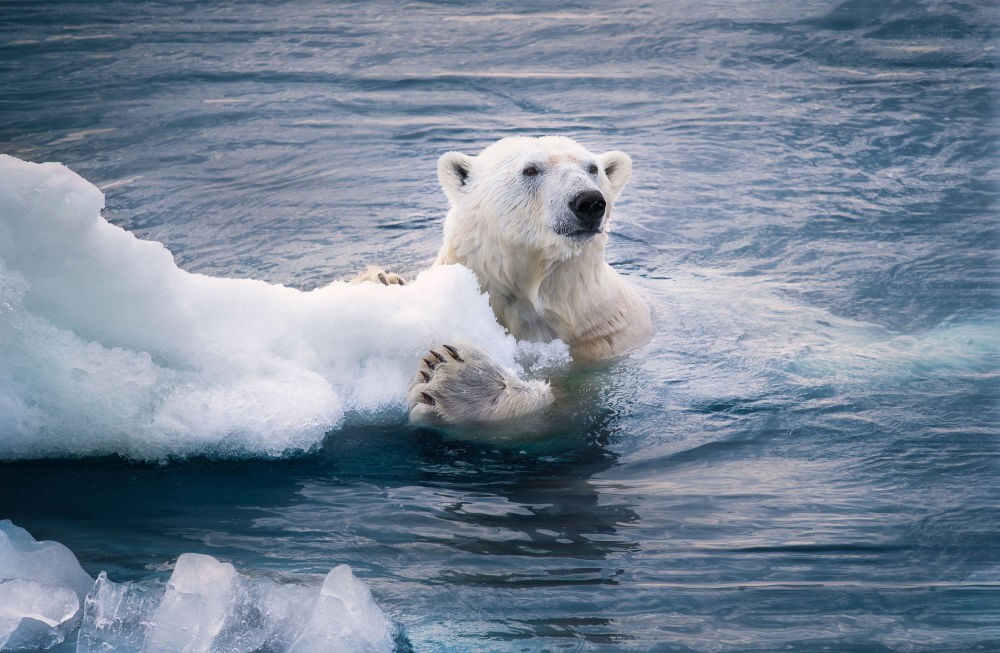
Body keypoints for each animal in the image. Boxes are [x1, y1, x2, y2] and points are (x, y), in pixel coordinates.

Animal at [358, 135, 648, 426]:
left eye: (593, 169)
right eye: (530, 169)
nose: (589, 201)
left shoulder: (602, 341)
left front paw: (460, 379)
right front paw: (379, 282)